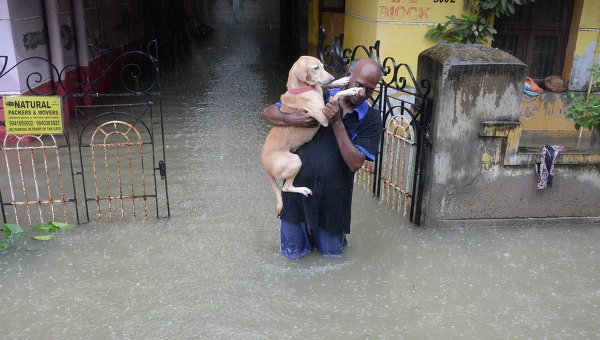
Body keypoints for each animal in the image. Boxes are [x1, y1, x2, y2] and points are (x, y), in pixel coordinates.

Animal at [262, 55, 360, 215]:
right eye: (315, 68)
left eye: (323, 65)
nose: (332, 77)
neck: (302, 88)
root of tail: (266, 168)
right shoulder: (324, 118)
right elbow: (335, 97)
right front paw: (352, 90)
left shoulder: (321, 88)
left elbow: (326, 87)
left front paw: (341, 81)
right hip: (295, 160)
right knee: (286, 187)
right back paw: (303, 190)